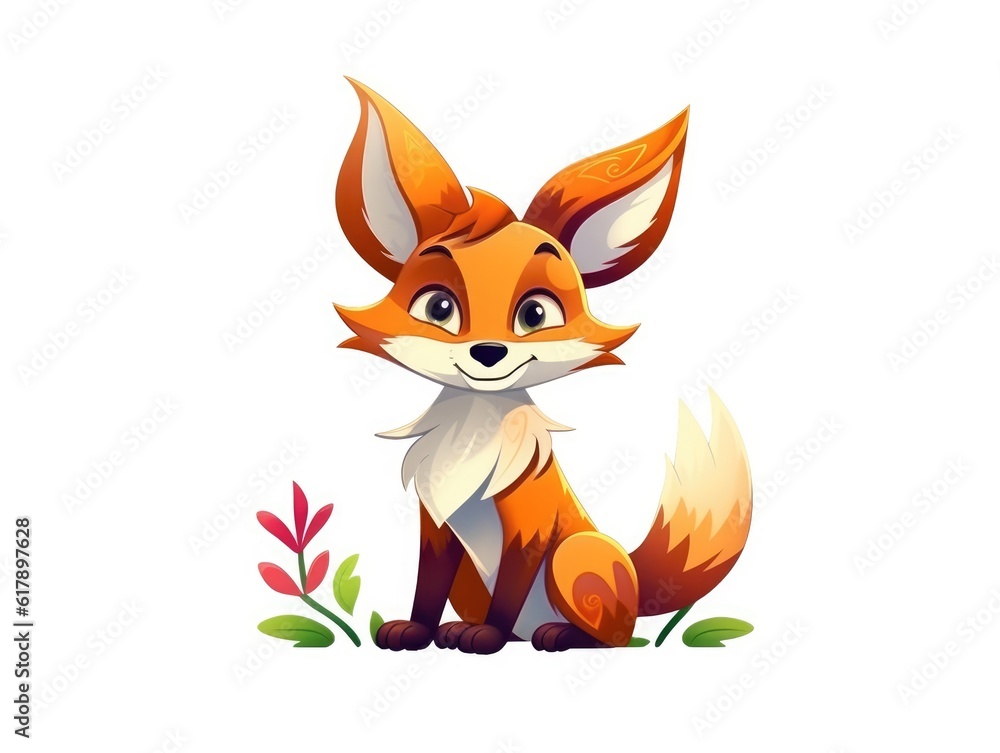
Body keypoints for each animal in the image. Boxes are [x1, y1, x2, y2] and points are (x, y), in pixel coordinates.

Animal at [333, 79, 752, 653]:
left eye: (535, 313)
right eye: (439, 308)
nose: (488, 352)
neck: (476, 429)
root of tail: (636, 580)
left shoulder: (530, 526)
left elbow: (511, 585)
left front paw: (486, 634)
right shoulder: (437, 525)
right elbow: (427, 584)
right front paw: (416, 630)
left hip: (575, 556)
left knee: (615, 636)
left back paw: (555, 634)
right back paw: (465, 629)